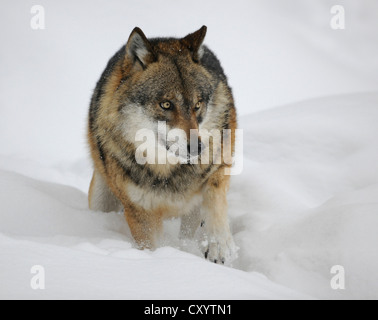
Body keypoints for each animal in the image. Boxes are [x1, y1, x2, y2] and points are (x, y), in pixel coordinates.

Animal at [87, 25, 238, 264]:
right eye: (166, 104)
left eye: (197, 104)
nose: (197, 148)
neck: (168, 170)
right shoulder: (140, 212)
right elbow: (151, 246)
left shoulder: (219, 163)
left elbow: (215, 197)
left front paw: (219, 246)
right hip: (101, 199)